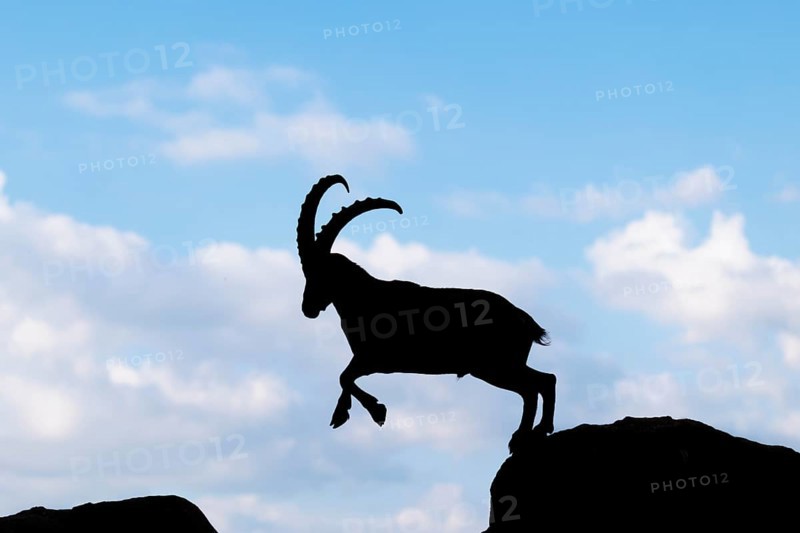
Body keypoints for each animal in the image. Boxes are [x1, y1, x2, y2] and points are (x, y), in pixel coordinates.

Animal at [297, 174, 556, 452]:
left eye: (321, 273)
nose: (307, 308)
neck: (365, 298)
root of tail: (524, 319)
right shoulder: (365, 360)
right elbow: (345, 379)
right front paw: (341, 414)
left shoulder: (374, 359)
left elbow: (344, 377)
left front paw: (378, 412)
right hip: (500, 366)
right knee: (543, 381)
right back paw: (536, 432)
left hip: (496, 366)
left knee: (536, 386)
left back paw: (525, 435)